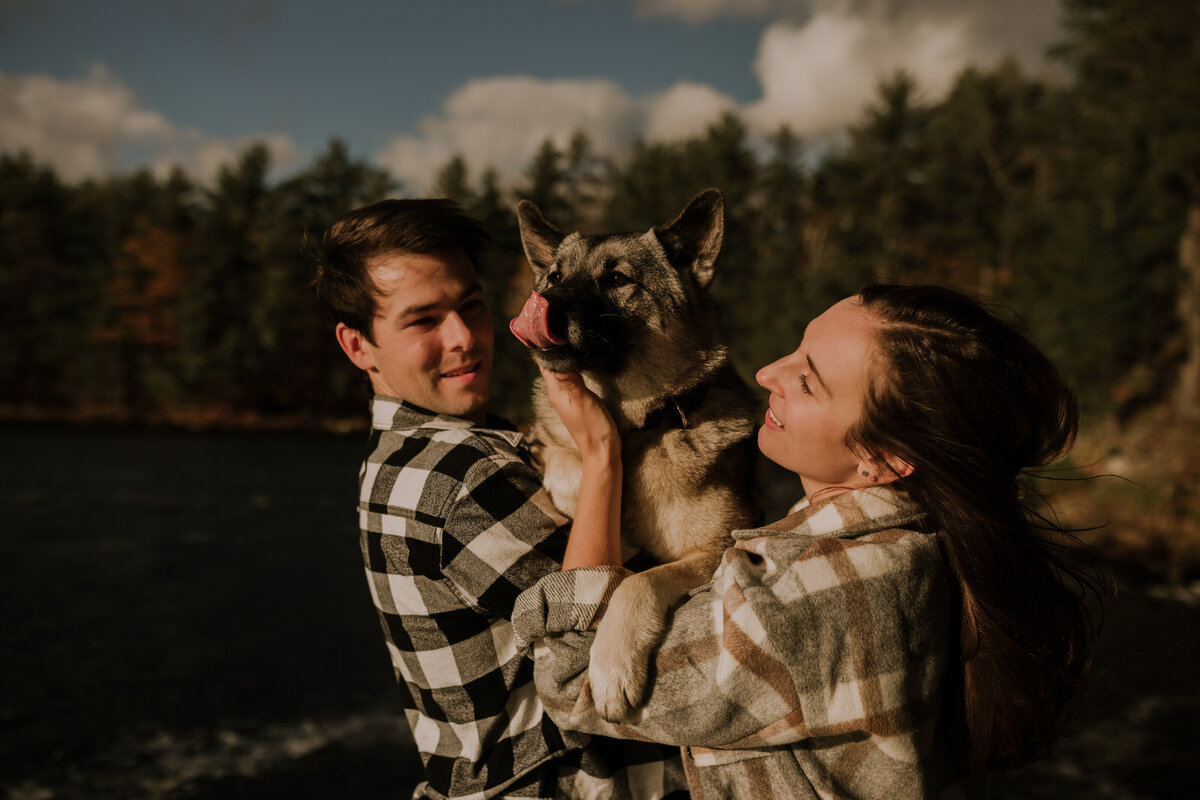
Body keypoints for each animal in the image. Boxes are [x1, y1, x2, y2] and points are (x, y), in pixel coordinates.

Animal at [506, 190, 758, 724]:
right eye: (554, 277)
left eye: (618, 280)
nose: (543, 305)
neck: (636, 431)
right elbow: (561, 456)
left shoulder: (717, 550)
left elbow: (636, 582)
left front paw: (611, 667)